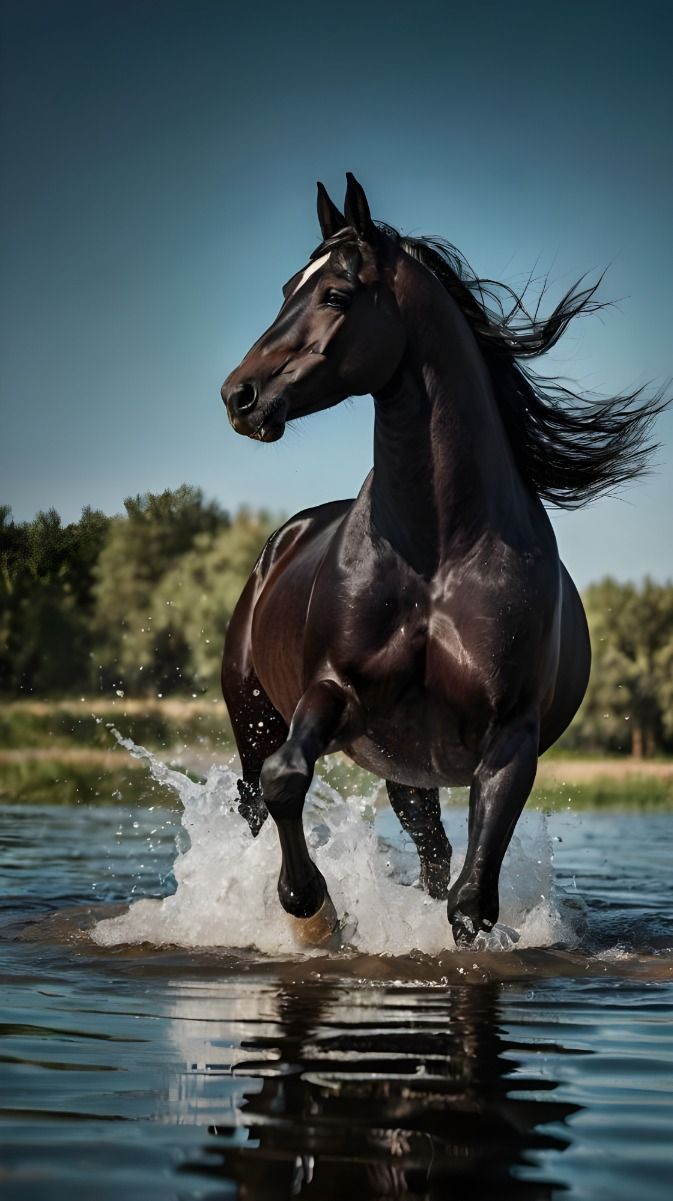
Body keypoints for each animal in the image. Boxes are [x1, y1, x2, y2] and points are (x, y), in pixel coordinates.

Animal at [220, 173, 661, 947]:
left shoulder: (508, 742)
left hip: (410, 771)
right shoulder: (330, 691)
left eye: (335, 294)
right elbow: (286, 778)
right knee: (255, 797)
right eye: (284, 288)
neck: (436, 556)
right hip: (258, 719)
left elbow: (469, 901)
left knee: (434, 855)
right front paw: (312, 909)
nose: (239, 396)